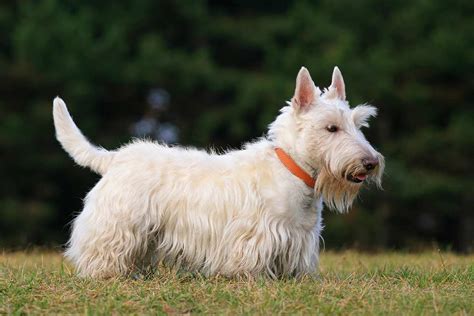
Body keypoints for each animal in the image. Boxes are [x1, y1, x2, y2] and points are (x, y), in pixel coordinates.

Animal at [53, 67, 384, 278]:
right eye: (331, 128)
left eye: (359, 125)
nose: (370, 163)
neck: (292, 169)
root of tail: (115, 158)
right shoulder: (255, 236)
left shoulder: (300, 239)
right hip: (119, 224)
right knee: (104, 249)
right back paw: (104, 274)